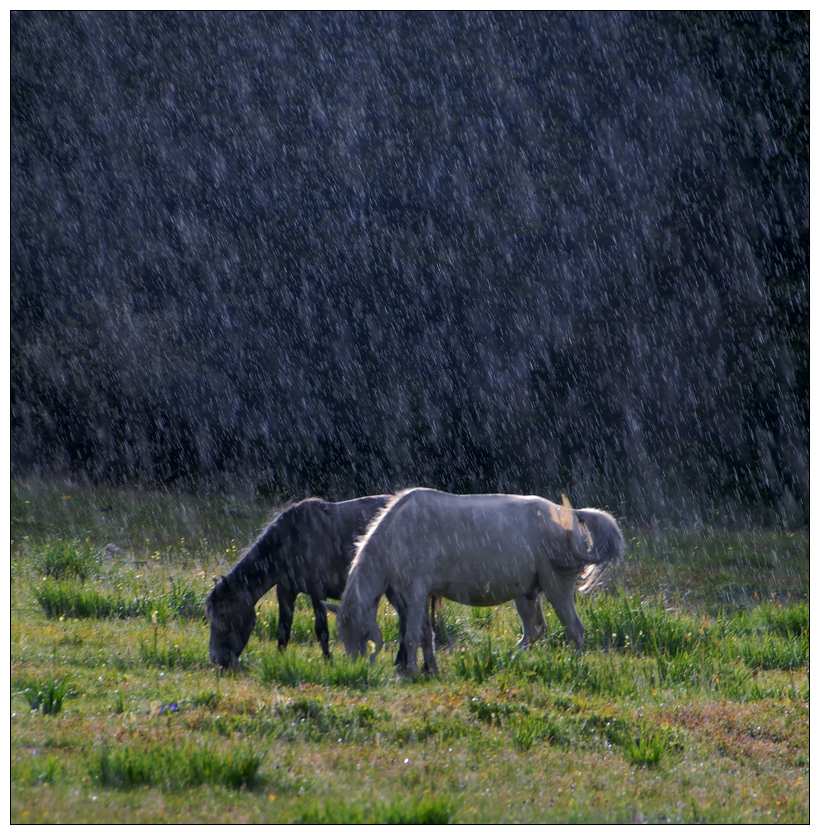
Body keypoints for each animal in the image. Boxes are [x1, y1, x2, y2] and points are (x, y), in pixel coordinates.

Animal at [203, 494, 386, 668]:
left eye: (225, 615)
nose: (218, 660)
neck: (292, 540)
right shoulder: (285, 591)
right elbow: (284, 629)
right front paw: (280, 659)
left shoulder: (317, 591)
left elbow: (321, 630)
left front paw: (328, 661)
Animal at [336, 486, 624, 676]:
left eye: (358, 631)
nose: (355, 668)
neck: (398, 532)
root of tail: (570, 516)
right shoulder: (413, 597)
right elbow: (424, 635)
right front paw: (429, 670)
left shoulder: (416, 594)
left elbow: (411, 636)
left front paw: (412, 671)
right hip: (527, 593)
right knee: (534, 630)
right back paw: (509, 659)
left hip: (557, 587)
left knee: (574, 629)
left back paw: (575, 665)